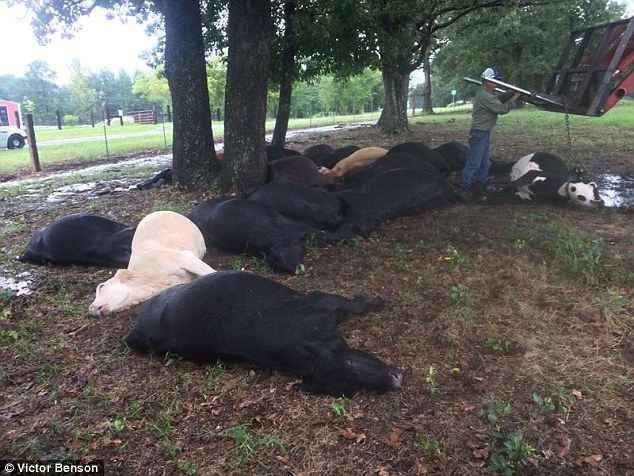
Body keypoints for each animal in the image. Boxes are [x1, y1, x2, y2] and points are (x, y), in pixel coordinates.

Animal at [124, 272, 400, 398]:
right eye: (349, 386)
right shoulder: (321, 301)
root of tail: (135, 333)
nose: (395, 379)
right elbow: (357, 306)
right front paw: (373, 301)